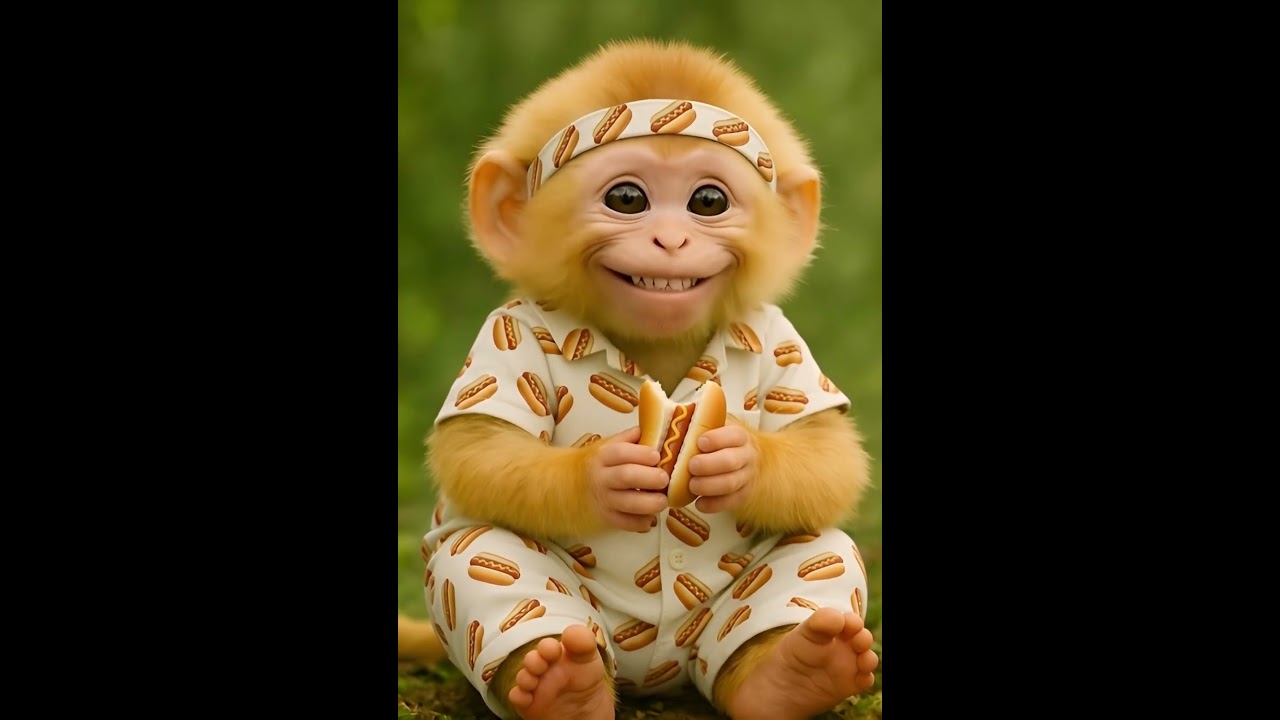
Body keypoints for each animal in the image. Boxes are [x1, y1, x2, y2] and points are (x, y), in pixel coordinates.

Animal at [412, 39, 878, 720]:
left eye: (708, 201)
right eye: (626, 199)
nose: (671, 240)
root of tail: (652, 678)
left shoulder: (779, 334)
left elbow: (826, 453)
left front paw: (738, 459)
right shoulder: (506, 335)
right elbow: (481, 452)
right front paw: (605, 474)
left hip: (744, 611)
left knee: (818, 553)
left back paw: (798, 668)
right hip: (502, 586)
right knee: (483, 557)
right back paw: (560, 682)